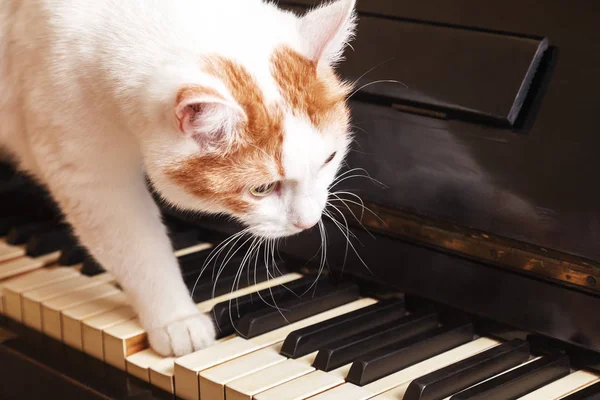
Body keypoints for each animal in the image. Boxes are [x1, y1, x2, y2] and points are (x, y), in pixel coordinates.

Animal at [0, 0, 356, 356]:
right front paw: (176, 319)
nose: (308, 223)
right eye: (262, 188)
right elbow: (137, 247)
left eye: (329, 159)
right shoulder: (89, 177)